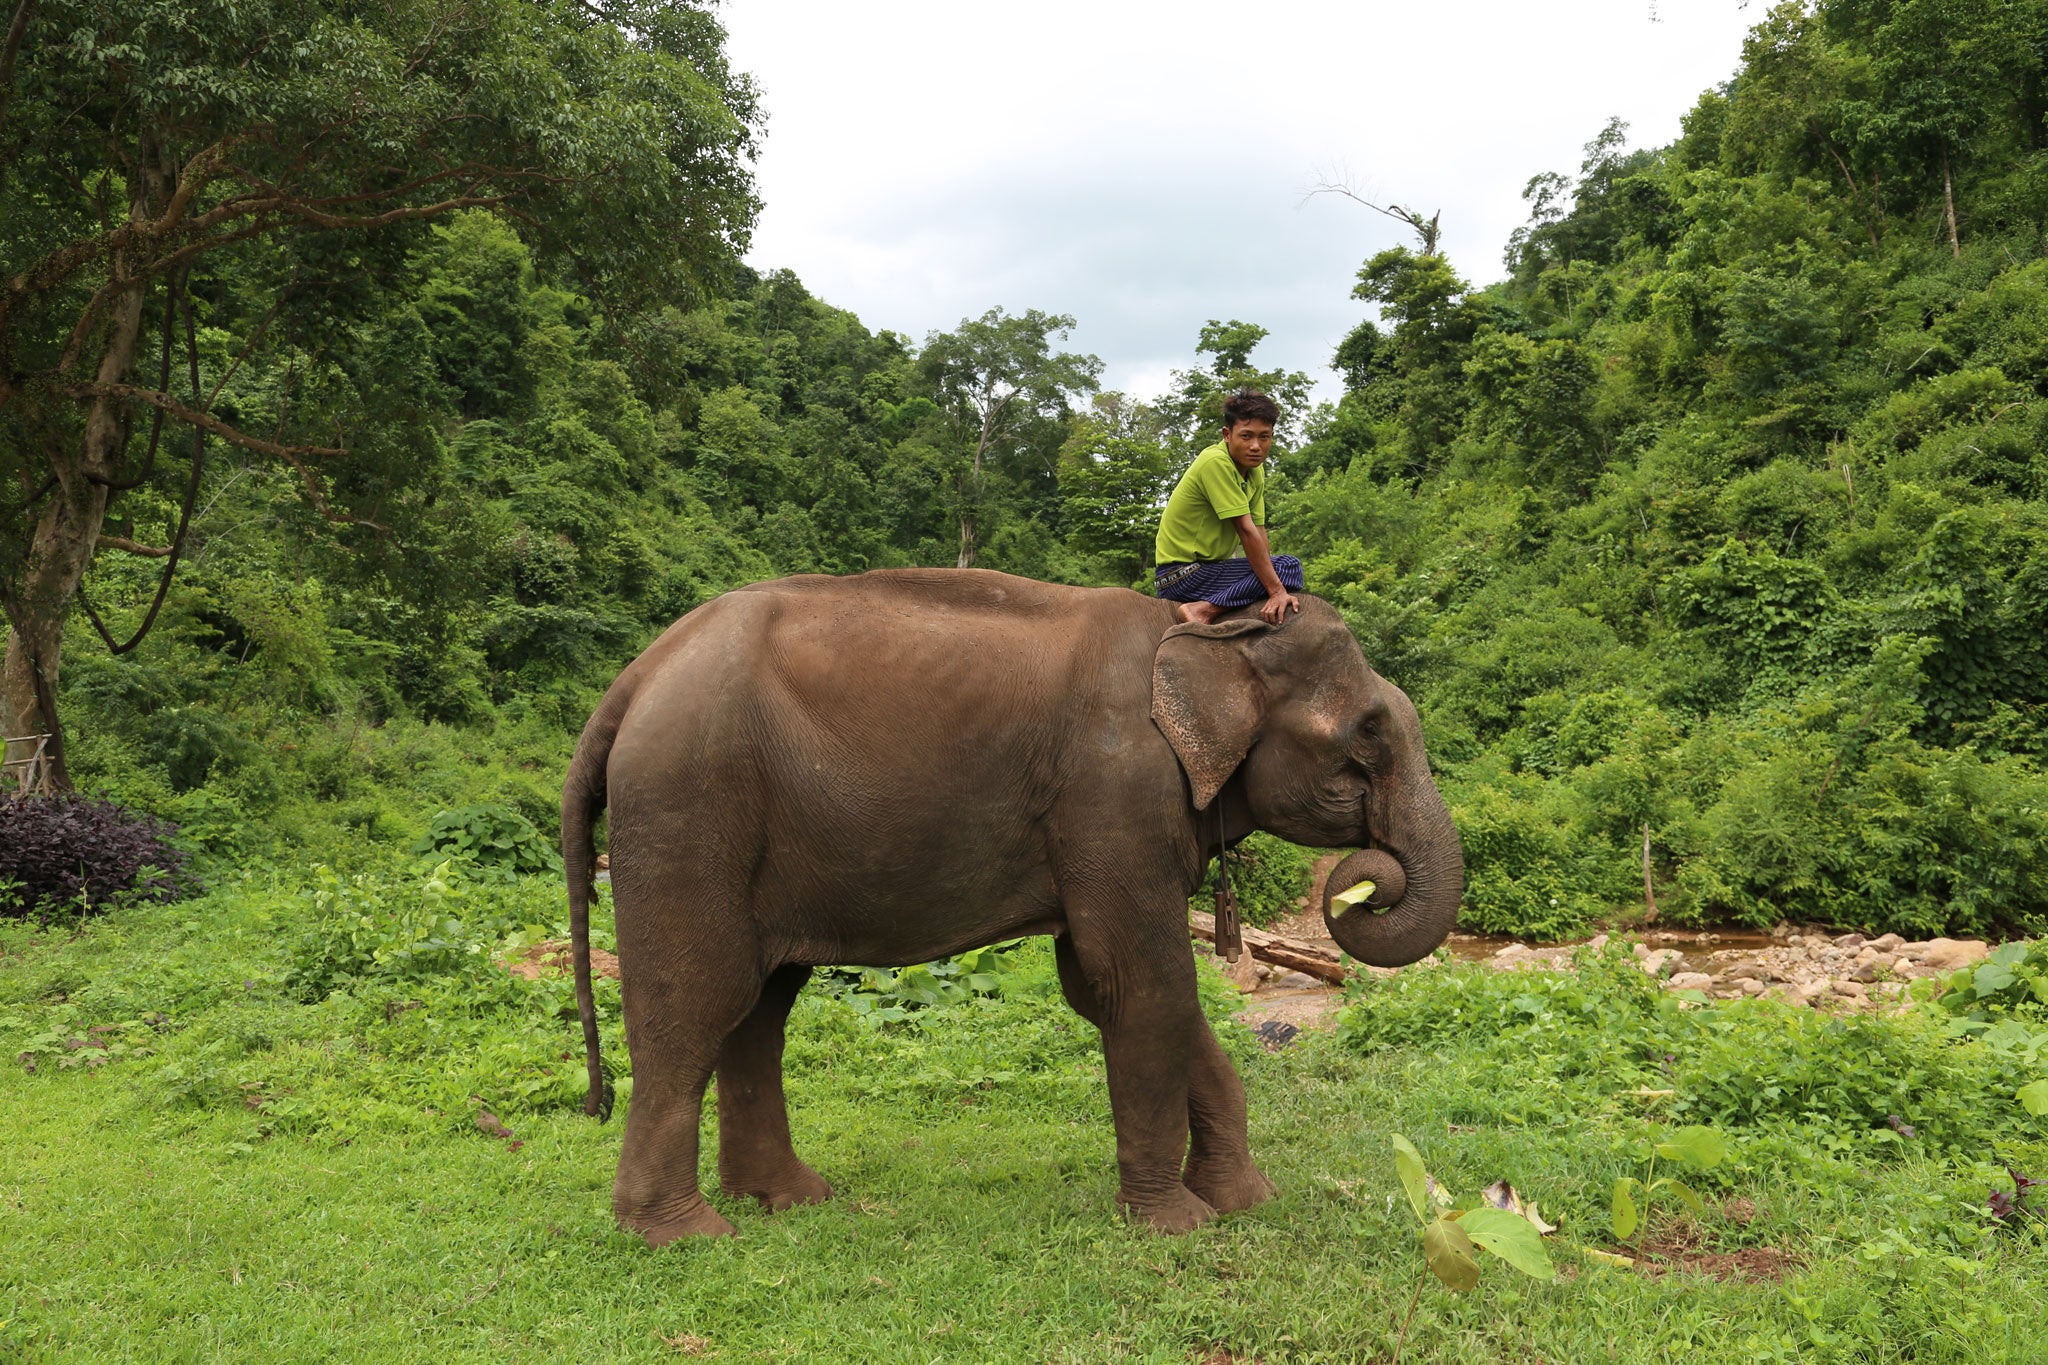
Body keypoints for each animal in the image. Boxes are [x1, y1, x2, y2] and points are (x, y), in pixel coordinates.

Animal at [561, 568, 1458, 1252]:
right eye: (1368, 730)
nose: (1367, 878)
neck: (1205, 634)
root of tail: (633, 677)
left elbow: (1107, 989)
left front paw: (1246, 1200)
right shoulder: (1114, 792)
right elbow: (1144, 978)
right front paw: (1175, 1226)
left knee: (762, 1006)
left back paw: (790, 1199)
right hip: (689, 805)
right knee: (696, 1002)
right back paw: (684, 1234)